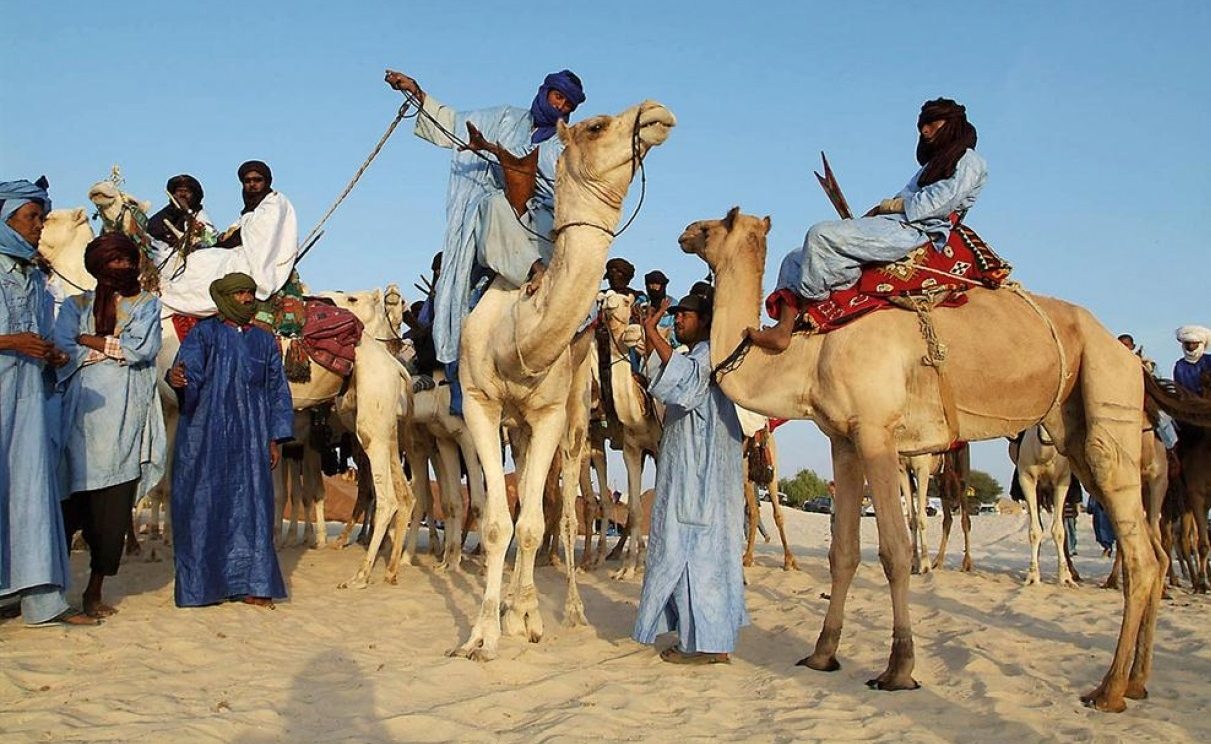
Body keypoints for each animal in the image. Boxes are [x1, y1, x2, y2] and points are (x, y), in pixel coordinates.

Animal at [449, 100, 674, 660]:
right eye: (597, 126)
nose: (656, 112)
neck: (517, 330)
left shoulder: (551, 413)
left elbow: (531, 525)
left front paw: (525, 621)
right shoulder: (481, 405)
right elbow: (497, 523)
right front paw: (482, 635)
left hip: (575, 419)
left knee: (570, 507)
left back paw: (564, 610)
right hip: (518, 428)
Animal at [678, 206, 1171, 712]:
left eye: (712, 227)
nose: (685, 232)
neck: (810, 355)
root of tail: (1129, 358)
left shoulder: (876, 431)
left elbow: (894, 550)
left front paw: (899, 668)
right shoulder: (843, 439)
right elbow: (844, 551)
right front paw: (822, 654)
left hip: (1108, 397)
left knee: (1140, 555)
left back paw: (1109, 690)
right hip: (1075, 425)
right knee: (1154, 551)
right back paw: (1137, 681)